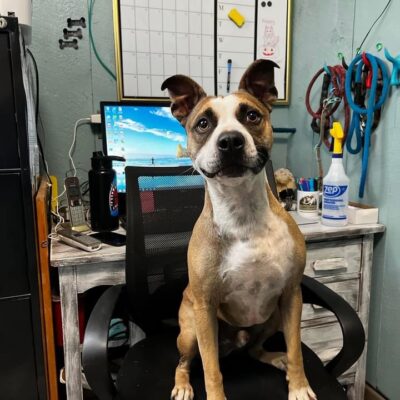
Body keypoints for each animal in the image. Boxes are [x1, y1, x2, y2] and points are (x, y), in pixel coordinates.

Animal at [161, 60, 318, 400]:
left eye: (251, 116)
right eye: (203, 123)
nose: (230, 140)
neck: (241, 210)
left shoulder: (291, 295)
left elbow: (297, 350)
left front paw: (299, 386)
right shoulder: (205, 308)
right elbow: (211, 371)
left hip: (273, 316)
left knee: (255, 349)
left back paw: (276, 359)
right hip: (190, 330)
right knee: (184, 362)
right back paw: (182, 385)